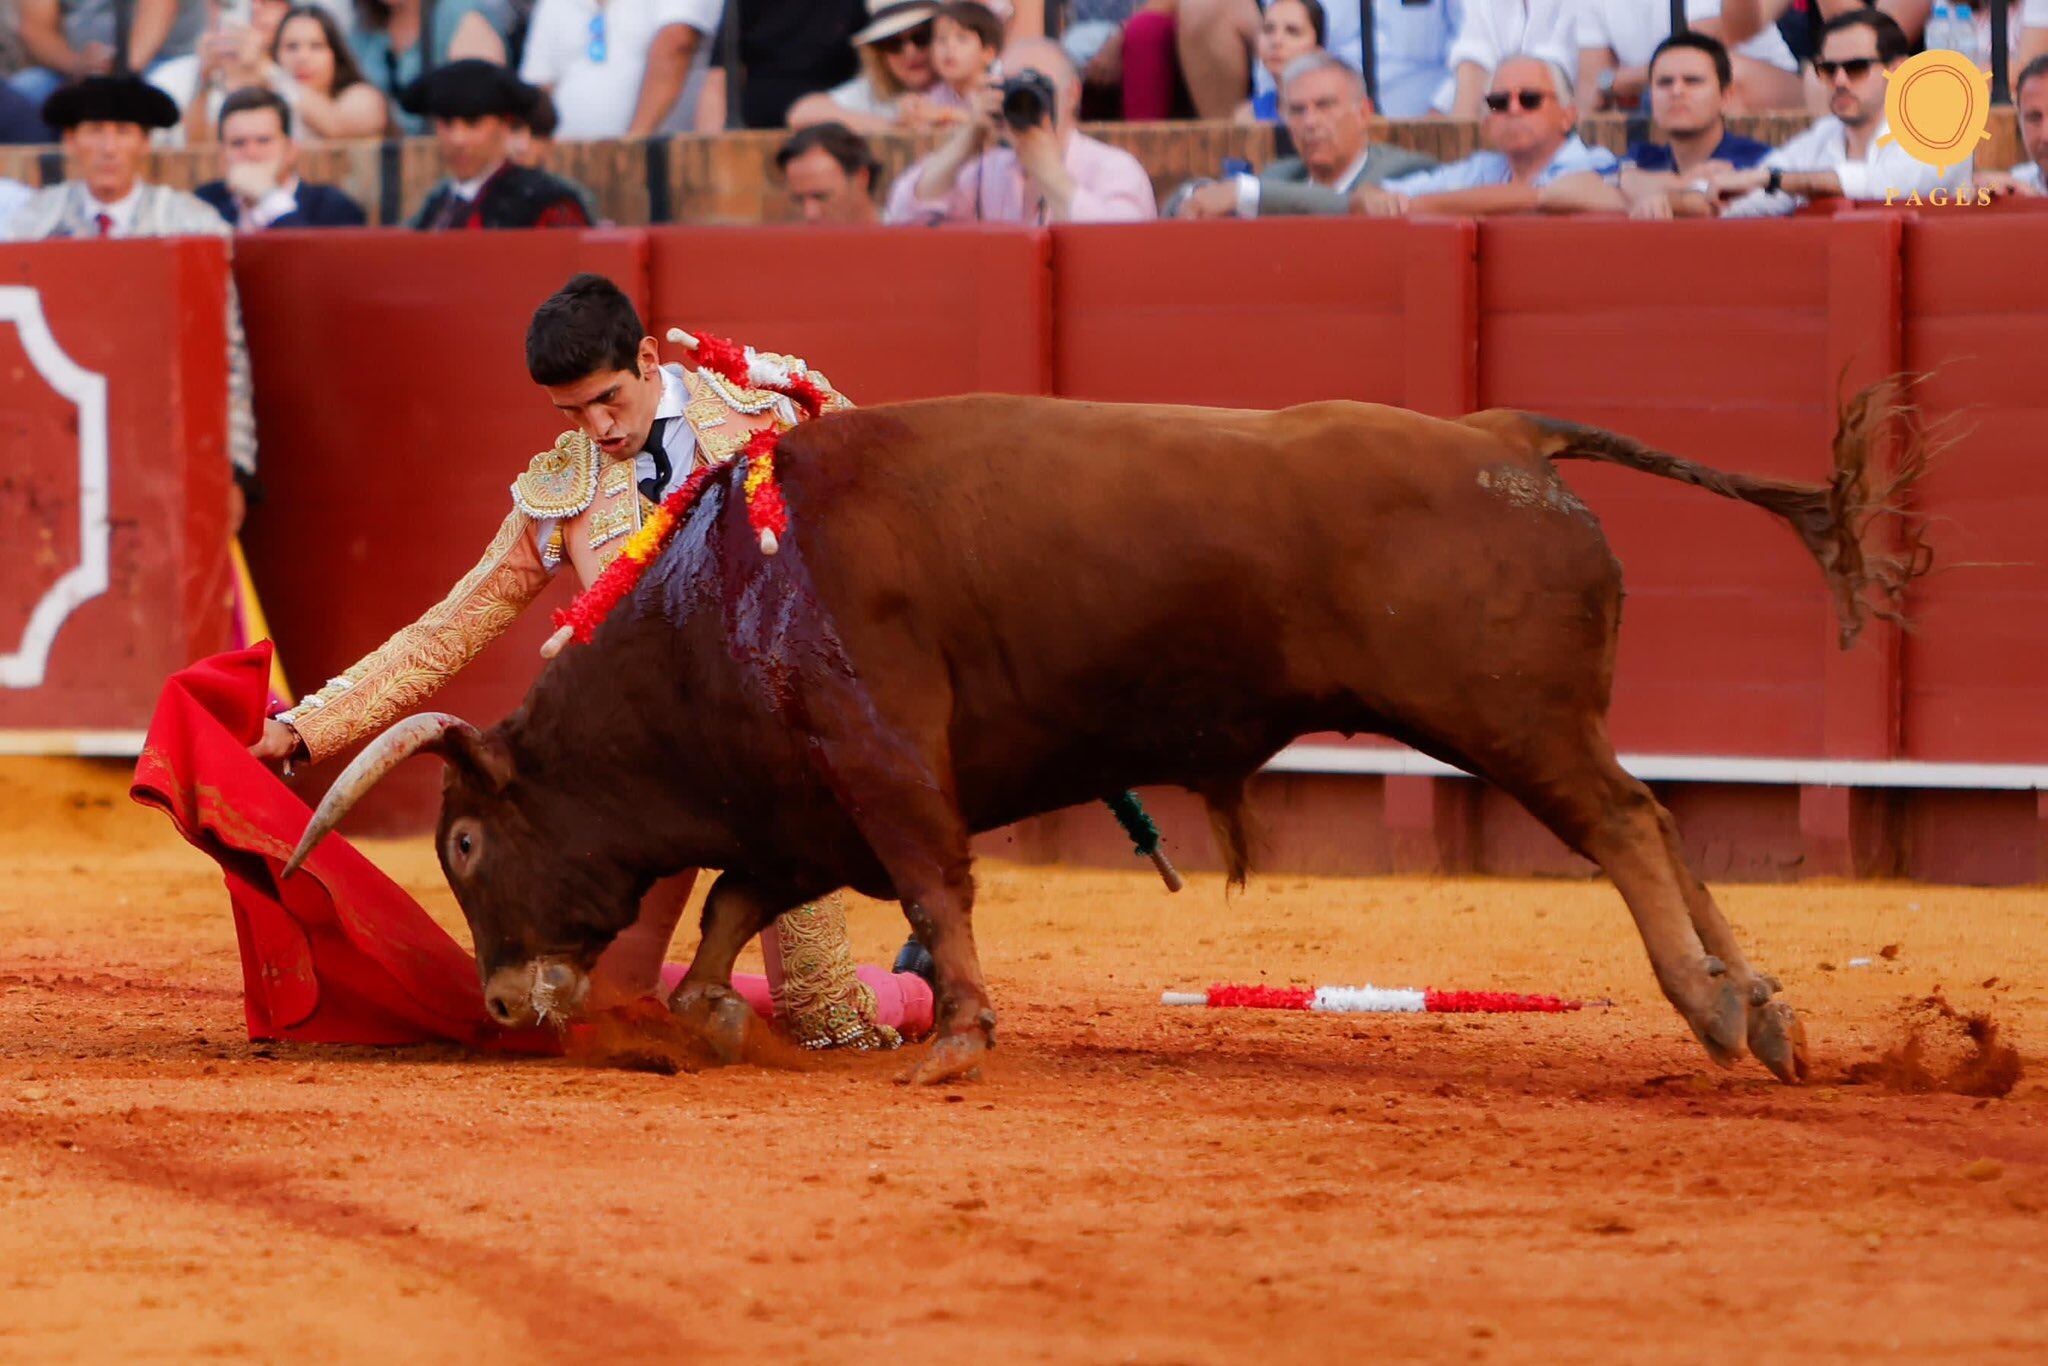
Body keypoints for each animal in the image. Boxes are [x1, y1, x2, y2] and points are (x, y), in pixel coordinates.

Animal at [284, 389, 1916, 1081]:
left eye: (465, 838)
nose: (504, 1003)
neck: (723, 589)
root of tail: (1505, 434)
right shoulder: (799, 804)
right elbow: (736, 913)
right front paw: (715, 1018)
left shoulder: (881, 762)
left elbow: (931, 885)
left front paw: (957, 1042)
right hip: (1540, 718)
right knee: (1665, 816)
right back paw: (1767, 1011)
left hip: (1502, 716)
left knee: (1629, 823)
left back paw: (1711, 1010)